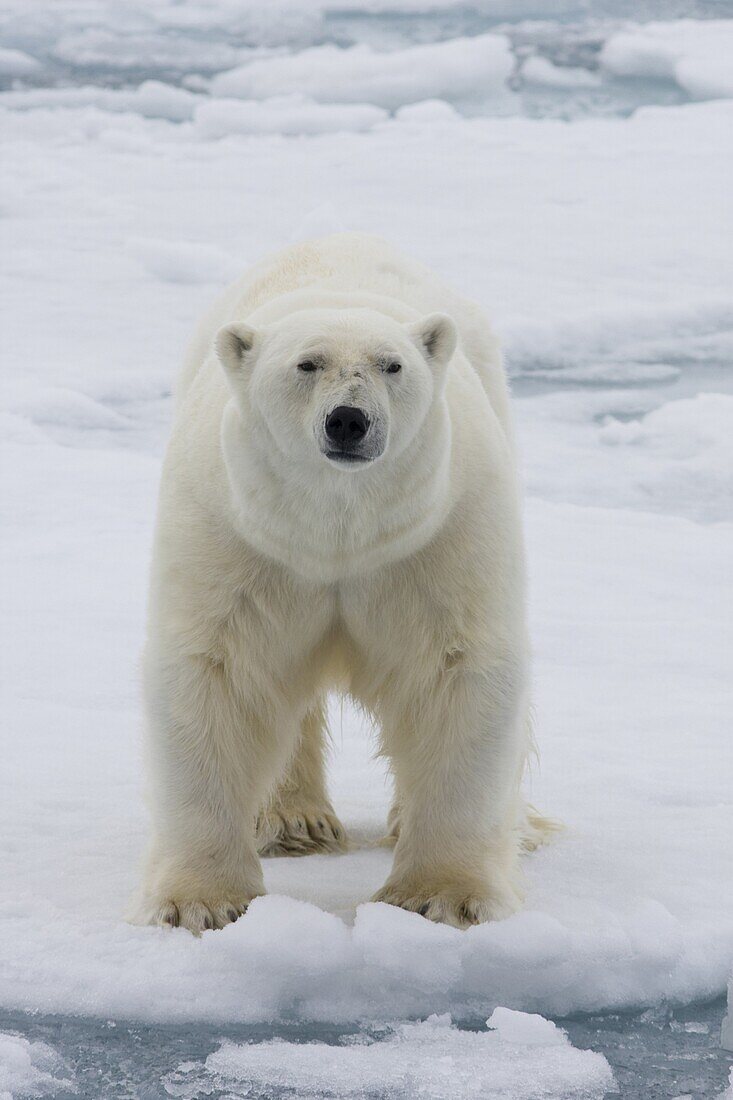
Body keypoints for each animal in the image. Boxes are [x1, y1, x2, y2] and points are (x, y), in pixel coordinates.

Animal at [138, 234, 548, 937]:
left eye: (392, 366)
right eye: (306, 364)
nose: (349, 421)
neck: (337, 531)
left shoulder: (438, 534)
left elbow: (456, 669)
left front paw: (443, 897)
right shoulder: (238, 535)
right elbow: (219, 673)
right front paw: (202, 902)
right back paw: (291, 822)